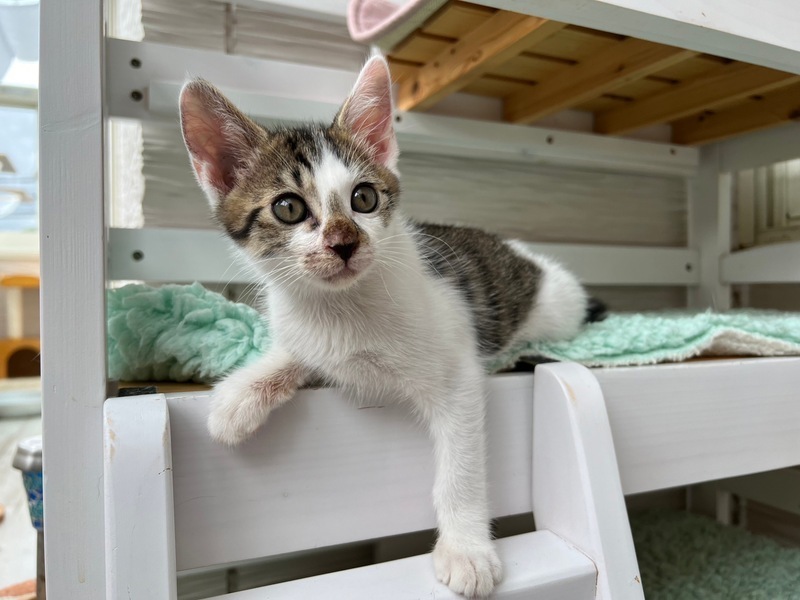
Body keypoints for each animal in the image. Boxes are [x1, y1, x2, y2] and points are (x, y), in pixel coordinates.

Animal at [179, 53, 603, 598]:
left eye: (363, 198)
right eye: (288, 207)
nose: (344, 243)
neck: (343, 308)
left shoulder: (459, 372)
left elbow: (460, 466)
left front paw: (466, 549)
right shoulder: (314, 337)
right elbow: (298, 352)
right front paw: (240, 396)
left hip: (554, 310)